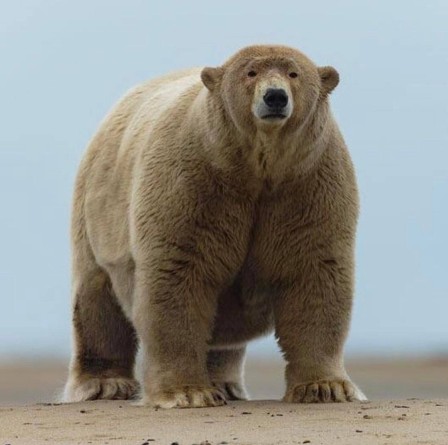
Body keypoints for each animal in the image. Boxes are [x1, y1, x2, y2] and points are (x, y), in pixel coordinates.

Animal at [63, 44, 366, 406]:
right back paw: (105, 384)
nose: (275, 97)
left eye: (294, 73)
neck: (256, 169)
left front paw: (326, 387)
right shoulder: (193, 181)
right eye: (250, 72)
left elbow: (314, 272)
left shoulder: (308, 184)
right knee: (97, 298)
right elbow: (179, 273)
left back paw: (226, 384)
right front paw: (187, 392)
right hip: (96, 213)